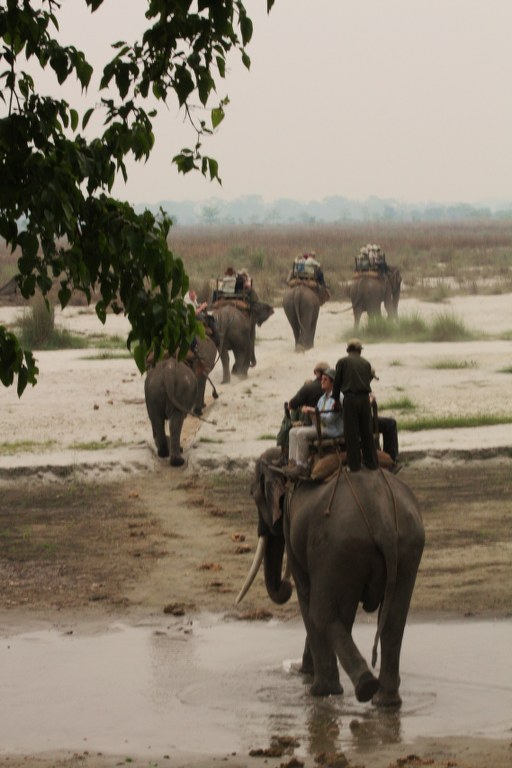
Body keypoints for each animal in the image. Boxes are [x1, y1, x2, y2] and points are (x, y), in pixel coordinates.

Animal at [144, 338, 215, 466]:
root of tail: (169, 372)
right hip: (182, 389)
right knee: (176, 420)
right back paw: (178, 460)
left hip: (154, 390)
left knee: (157, 419)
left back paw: (163, 453)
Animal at [237, 447, 424, 707]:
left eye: (253, 494)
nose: (284, 586)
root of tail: (382, 520)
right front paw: (306, 673)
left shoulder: (292, 527)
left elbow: (306, 595)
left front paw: (311, 681)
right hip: (407, 545)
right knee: (393, 620)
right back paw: (384, 701)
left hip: (337, 548)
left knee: (321, 612)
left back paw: (355, 688)